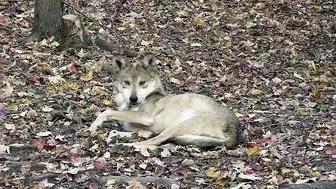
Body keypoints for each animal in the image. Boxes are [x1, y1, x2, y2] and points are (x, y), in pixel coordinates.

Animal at [87, 54, 242, 150]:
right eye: (127, 82)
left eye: (142, 83)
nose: (133, 99)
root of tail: (236, 134)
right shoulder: (144, 130)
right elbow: (117, 130)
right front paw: (113, 135)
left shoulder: (146, 117)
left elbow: (106, 112)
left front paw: (94, 126)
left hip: (177, 125)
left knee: (153, 142)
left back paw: (127, 146)